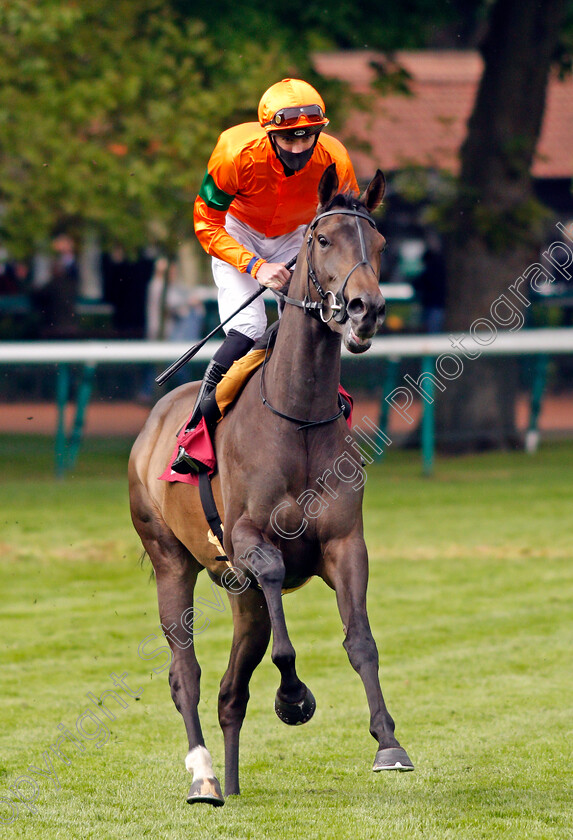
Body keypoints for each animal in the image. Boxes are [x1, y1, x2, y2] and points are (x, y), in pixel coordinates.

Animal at [128, 164, 412, 808]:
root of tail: (153, 423)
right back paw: (204, 777)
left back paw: (231, 783)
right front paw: (294, 697)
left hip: (241, 596)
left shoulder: (345, 543)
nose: (366, 309)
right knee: (186, 674)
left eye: (381, 244)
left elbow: (361, 640)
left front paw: (388, 743)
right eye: (323, 239)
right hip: (171, 562)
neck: (297, 415)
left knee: (230, 690)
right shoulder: (250, 540)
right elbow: (281, 595)